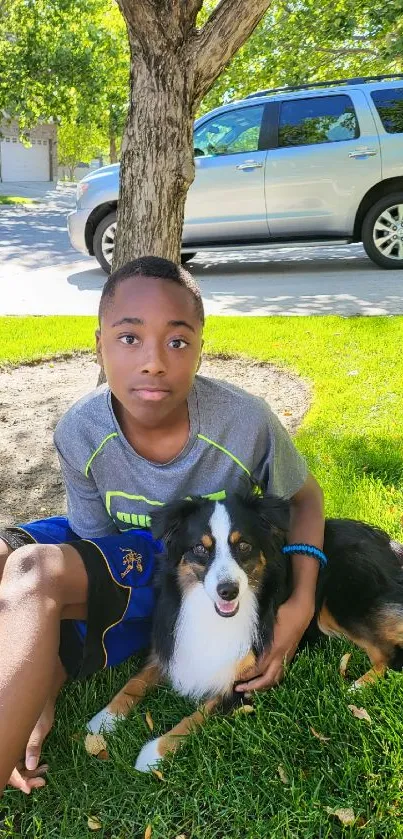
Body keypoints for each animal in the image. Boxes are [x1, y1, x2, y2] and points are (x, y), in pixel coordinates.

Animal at [84, 492, 403, 776]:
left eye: (244, 546)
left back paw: (358, 687)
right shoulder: (171, 645)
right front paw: (102, 722)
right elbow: (134, 683)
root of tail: (386, 543)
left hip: (338, 604)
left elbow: (196, 716)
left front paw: (153, 753)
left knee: (388, 652)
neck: (212, 614)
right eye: (201, 549)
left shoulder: (245, 680)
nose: (229, 590)